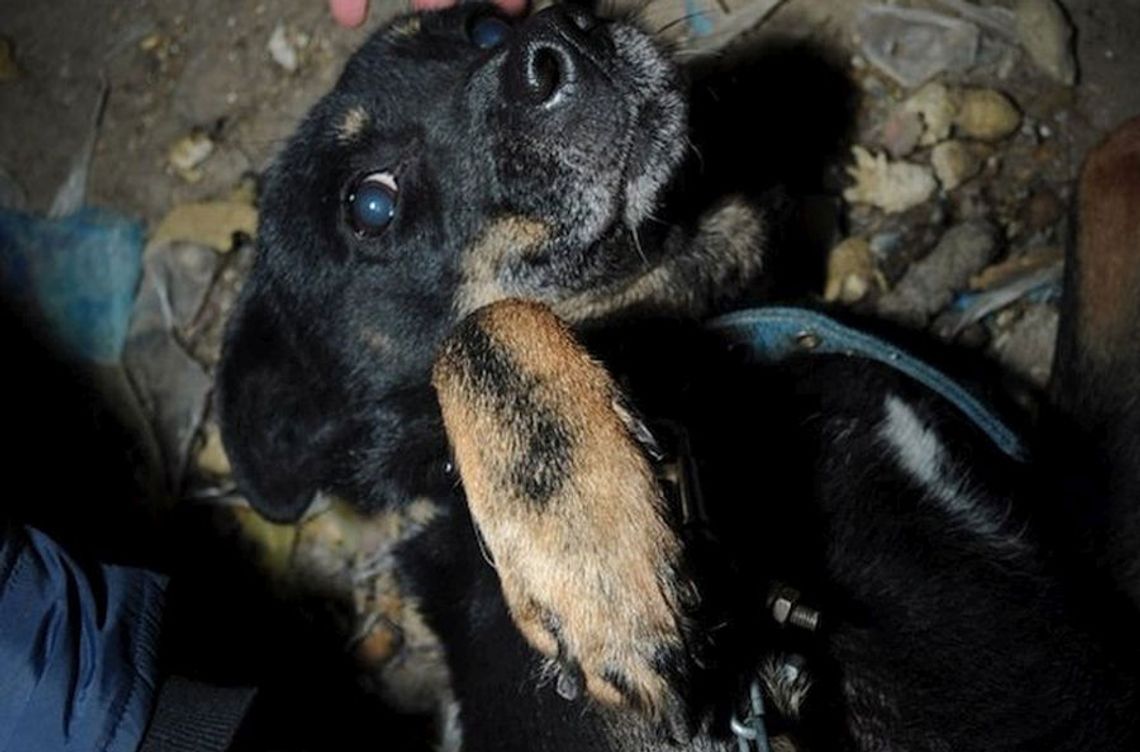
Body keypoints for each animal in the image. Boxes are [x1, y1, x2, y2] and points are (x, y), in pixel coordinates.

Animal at [217, 4, 1140, 747]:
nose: (558, 38)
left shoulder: (1087, 495)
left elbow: (1103, 168)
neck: (707, 338)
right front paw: (594, 557)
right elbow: (478, 327)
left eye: (479, 25)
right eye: (370, 205)